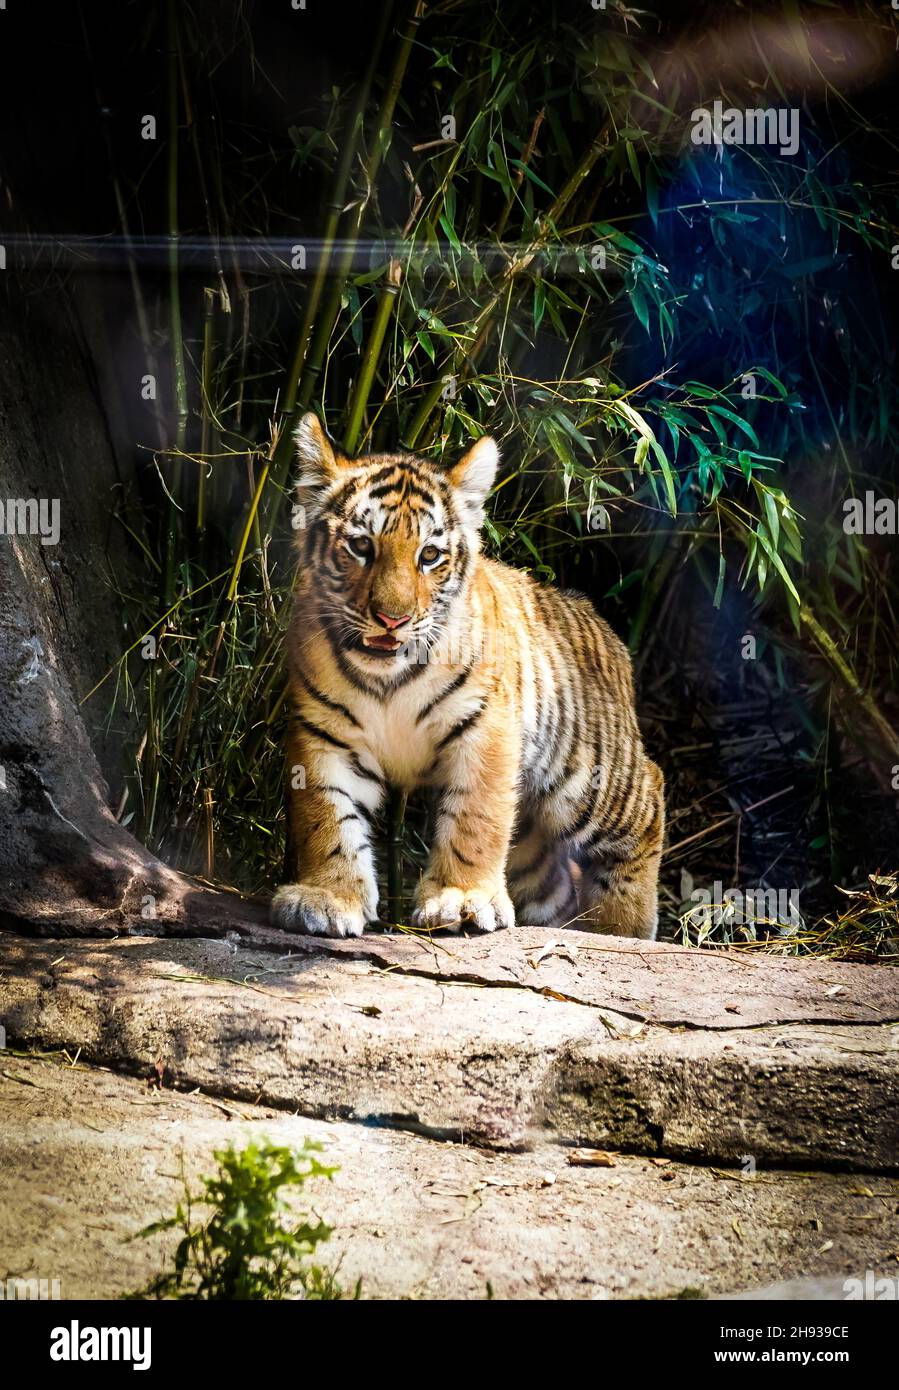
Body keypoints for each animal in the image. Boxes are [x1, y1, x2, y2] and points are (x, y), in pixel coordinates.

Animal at [270, 405, 664, 939]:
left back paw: (620, 928)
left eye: (429, 555)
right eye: (360, 546)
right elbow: (328, 818)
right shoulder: (323, 734)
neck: (388, 678)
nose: (391, 618)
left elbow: (475, 819)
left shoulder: (486, 729)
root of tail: (604, 627)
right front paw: (328, 897)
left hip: (588, 775)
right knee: (552, 880)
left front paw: (461, 900)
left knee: (651, 793)